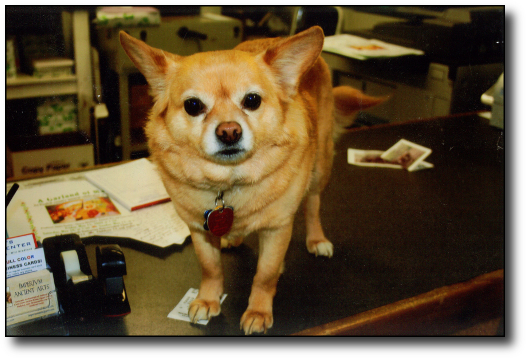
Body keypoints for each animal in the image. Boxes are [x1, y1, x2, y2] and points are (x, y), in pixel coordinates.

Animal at [119, 26, 384, 334]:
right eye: (193, 106)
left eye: (252, 101)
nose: (229, 131)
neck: (229, 183)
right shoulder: (198, 229)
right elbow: (210, 268)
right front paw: (208, 299)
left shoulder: (277, 230)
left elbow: (264, 275)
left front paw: (258, 310)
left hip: (321, 166)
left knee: (313, 204)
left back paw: (316, 239)